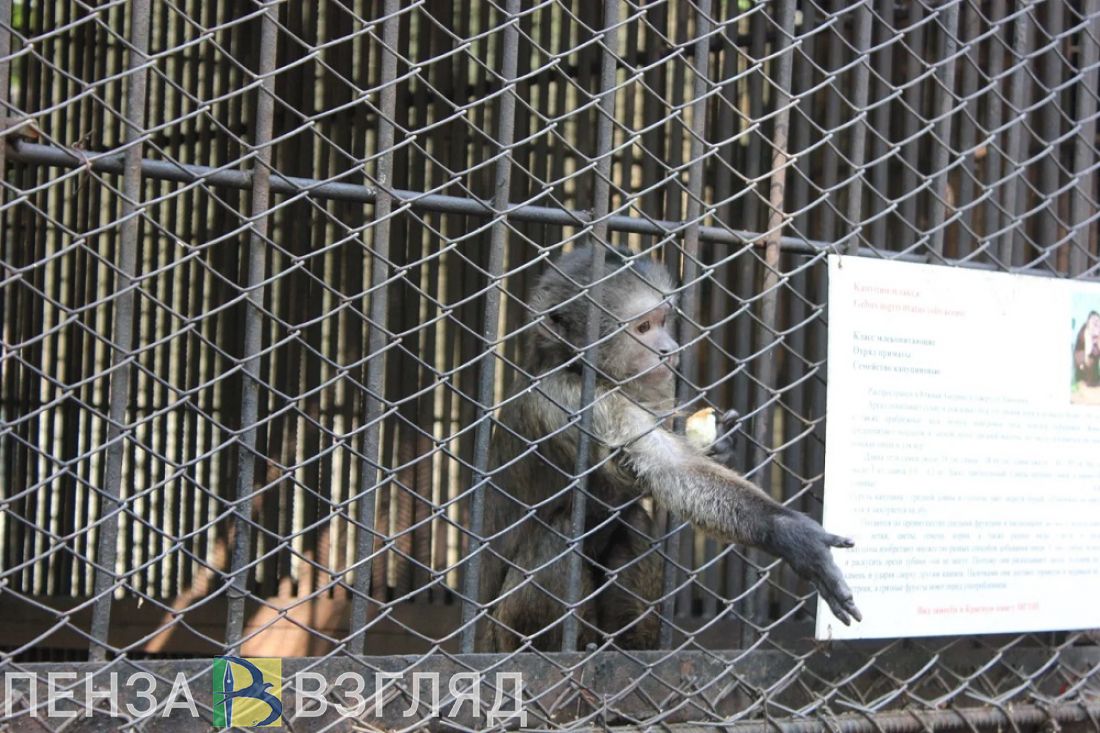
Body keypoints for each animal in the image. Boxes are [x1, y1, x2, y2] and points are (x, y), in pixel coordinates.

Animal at [475, 246, 858, 651]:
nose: (669, 349)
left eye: (662, 320)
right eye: (643, 328)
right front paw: (789, 534)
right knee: (562, 534)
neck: (574, 367)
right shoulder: (572, 400)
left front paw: (719, 446)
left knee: (633, 524)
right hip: (501, 636)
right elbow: (666, 467)